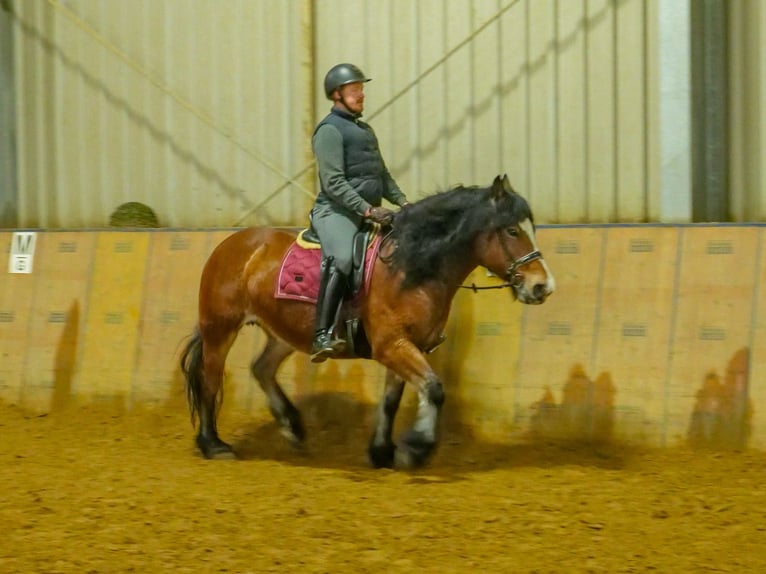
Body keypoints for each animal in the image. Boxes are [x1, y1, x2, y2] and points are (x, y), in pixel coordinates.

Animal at [180, 173, 556, 470]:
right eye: (511, 230)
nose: (542, 286)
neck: (409, 266)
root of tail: (234, 243)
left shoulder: (406, 346)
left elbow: (392, 400)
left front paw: (382, 452)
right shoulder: (392, 345)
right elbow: (434, 389)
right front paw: (416, 448)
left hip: (283, 333)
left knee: (262, 368)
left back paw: (293, 428)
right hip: (220, 328)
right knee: (209, 379)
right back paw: (214, 445)